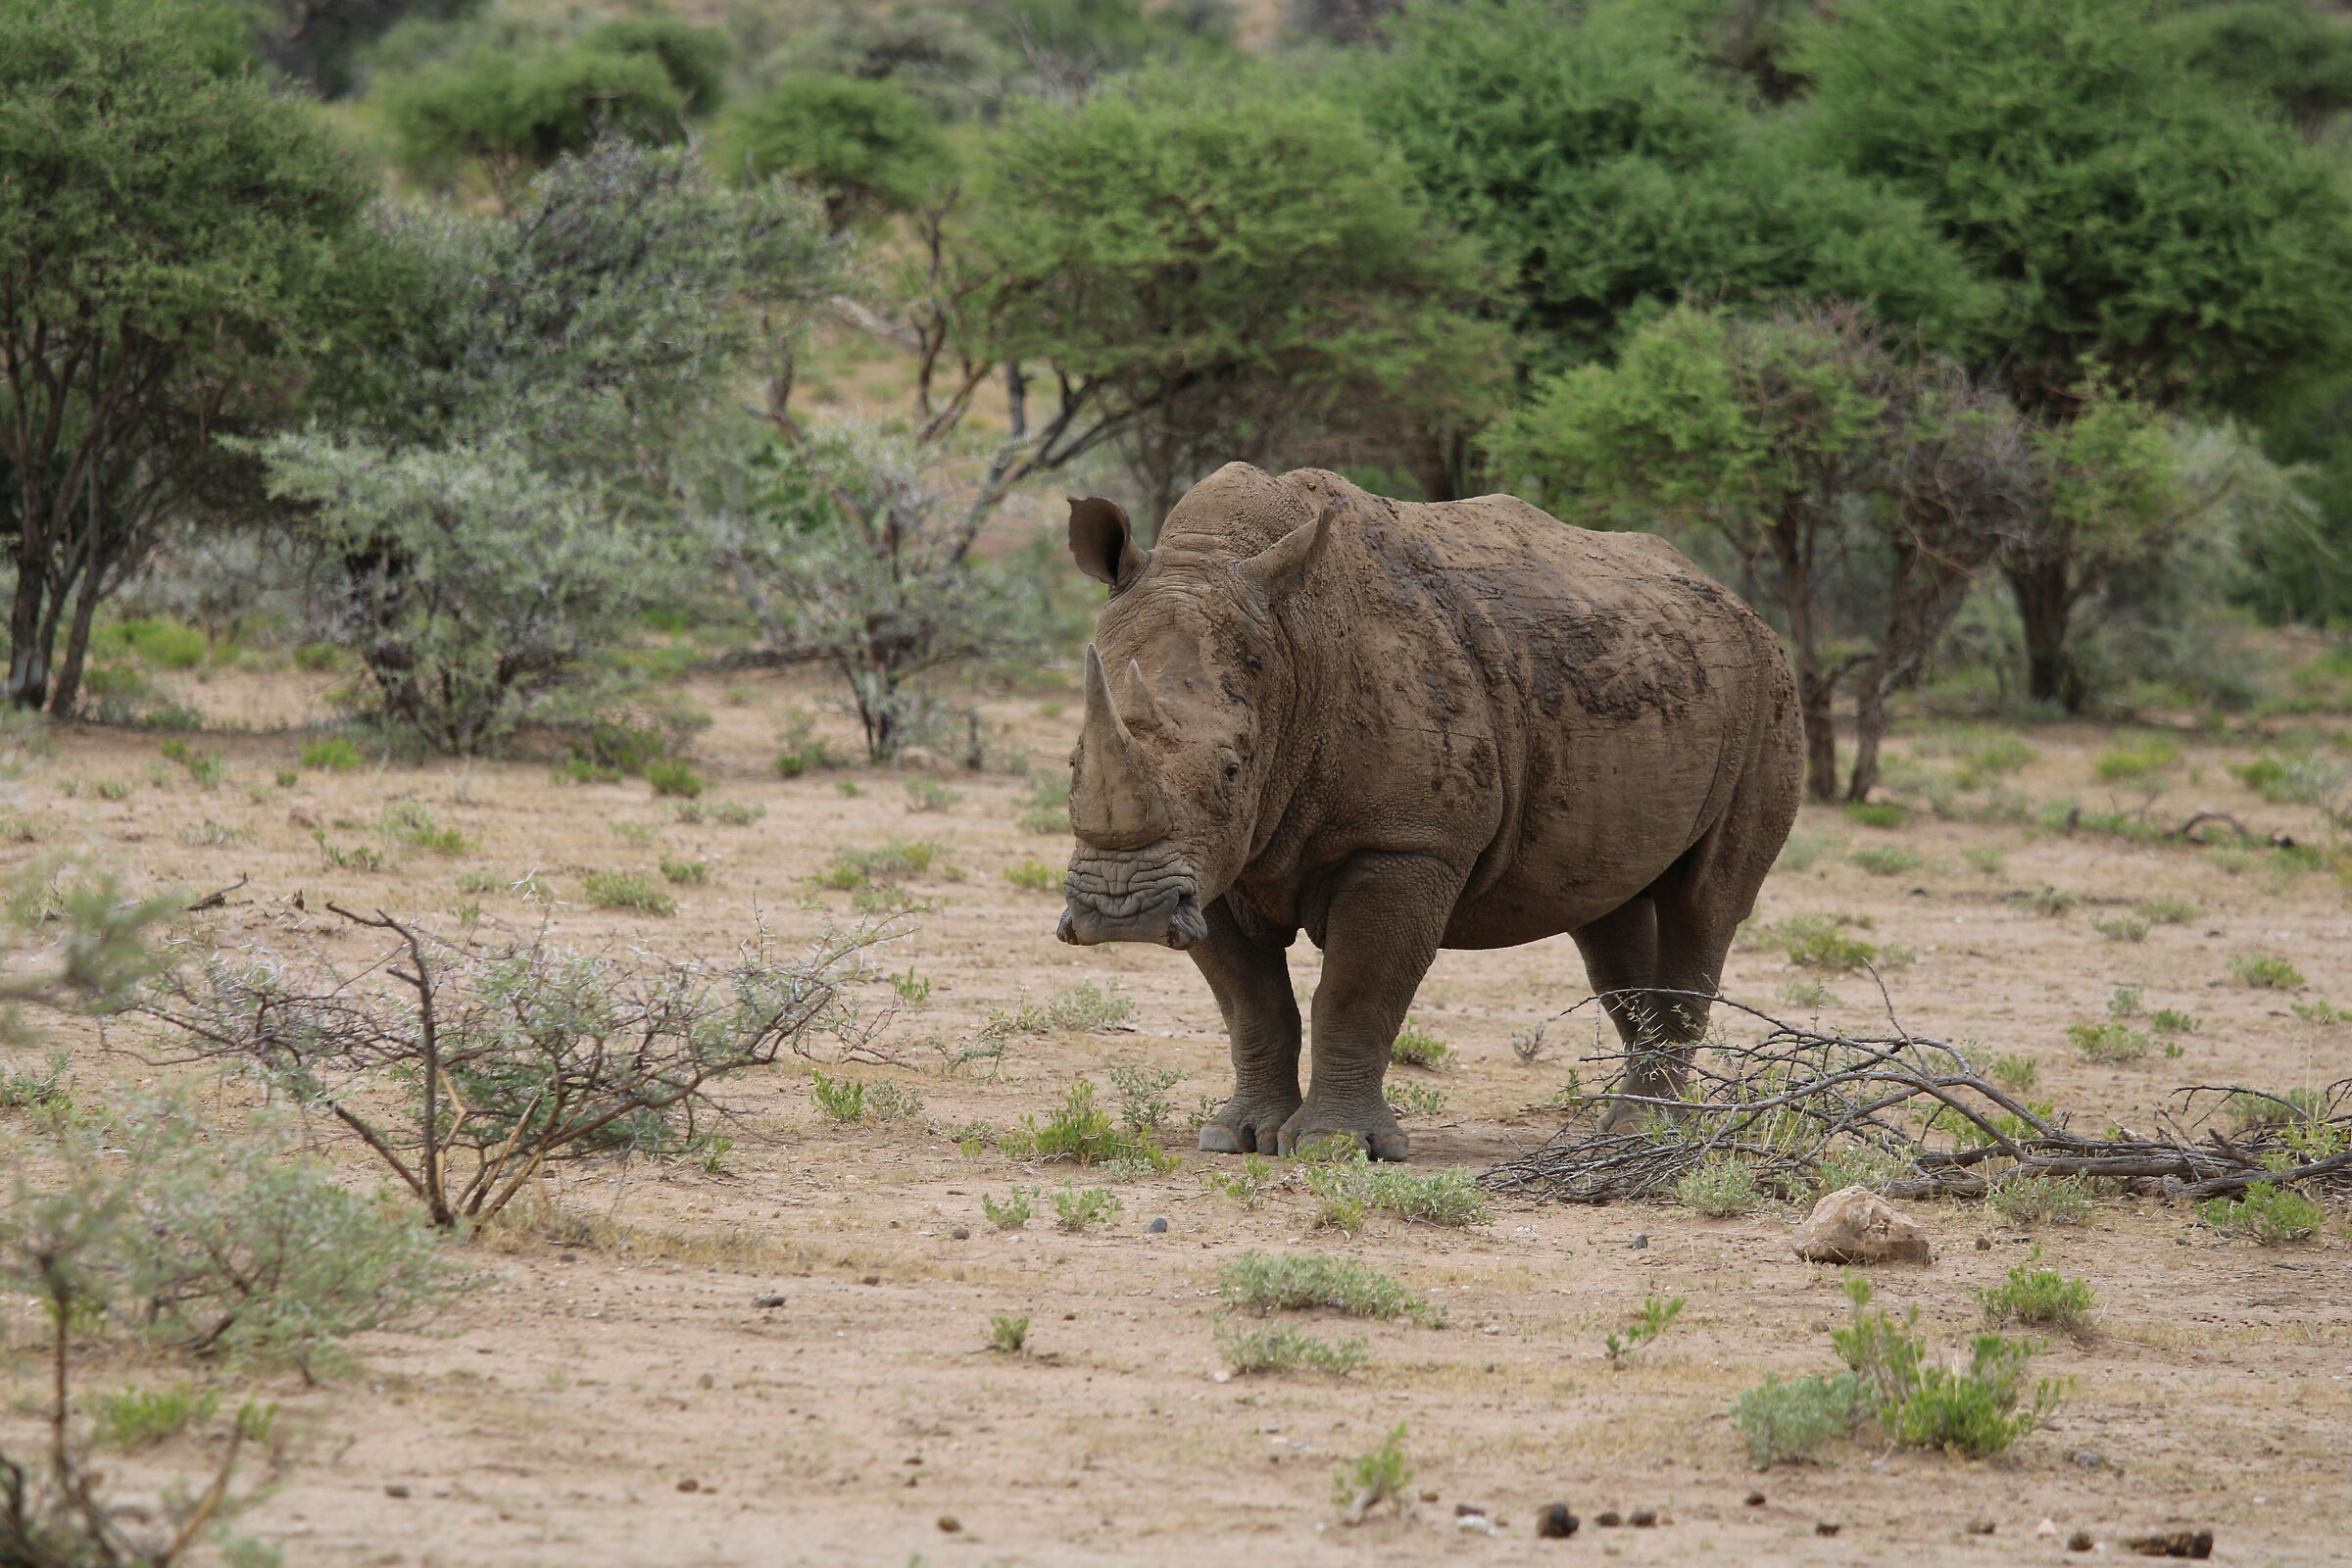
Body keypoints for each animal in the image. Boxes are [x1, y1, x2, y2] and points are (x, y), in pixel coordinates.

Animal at [1056, 464, 1802, 1159]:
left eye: (1232, 769)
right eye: (1071, 763)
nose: (1123, 911)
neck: (1292, 640)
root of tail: (1736, 603)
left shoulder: (1407, 841)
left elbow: (1356, 992)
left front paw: (1332, 1146)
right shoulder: (1214, 859)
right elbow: (1251, 1001)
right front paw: (1236, 1137)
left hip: (1768, 688)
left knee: (1704, 904)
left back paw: (1646, 1135)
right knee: (1607, 915)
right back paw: (1627, 1132)